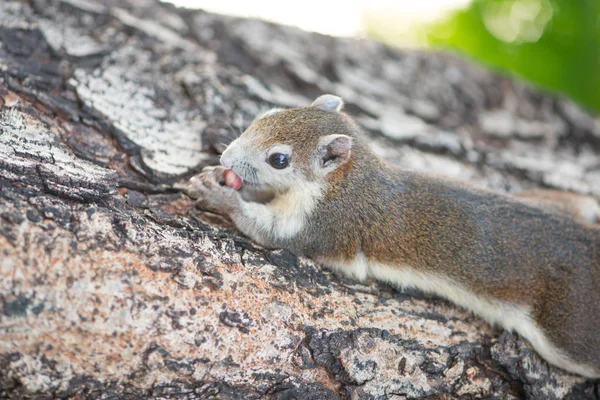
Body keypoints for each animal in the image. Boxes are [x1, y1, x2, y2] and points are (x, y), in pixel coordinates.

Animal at [186, 94, 600, 378]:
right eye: (266, 115)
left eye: (279, 160)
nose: (226, 158)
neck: (347, 179)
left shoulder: (323, 223)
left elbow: (268, 231)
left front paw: (219, 194)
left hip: (570, 328)